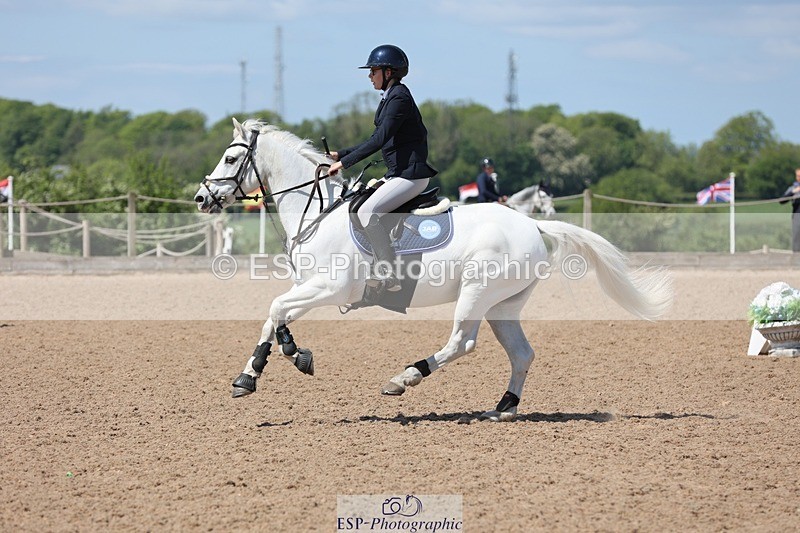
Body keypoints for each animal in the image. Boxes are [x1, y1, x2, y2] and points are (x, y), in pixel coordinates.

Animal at [194, 118, 673, 421]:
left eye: (231, 159)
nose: (201, 198)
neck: (319, 211)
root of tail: (532, 224)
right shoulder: (313, 287)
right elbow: (276, 317)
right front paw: (272, 365)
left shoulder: (331, 288)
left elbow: (275, 309)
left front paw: (272, 365)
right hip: (502, 305)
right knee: (521, 353)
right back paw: (502, 408)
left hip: (477, 293)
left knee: (462, 342)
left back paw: (404, 378)